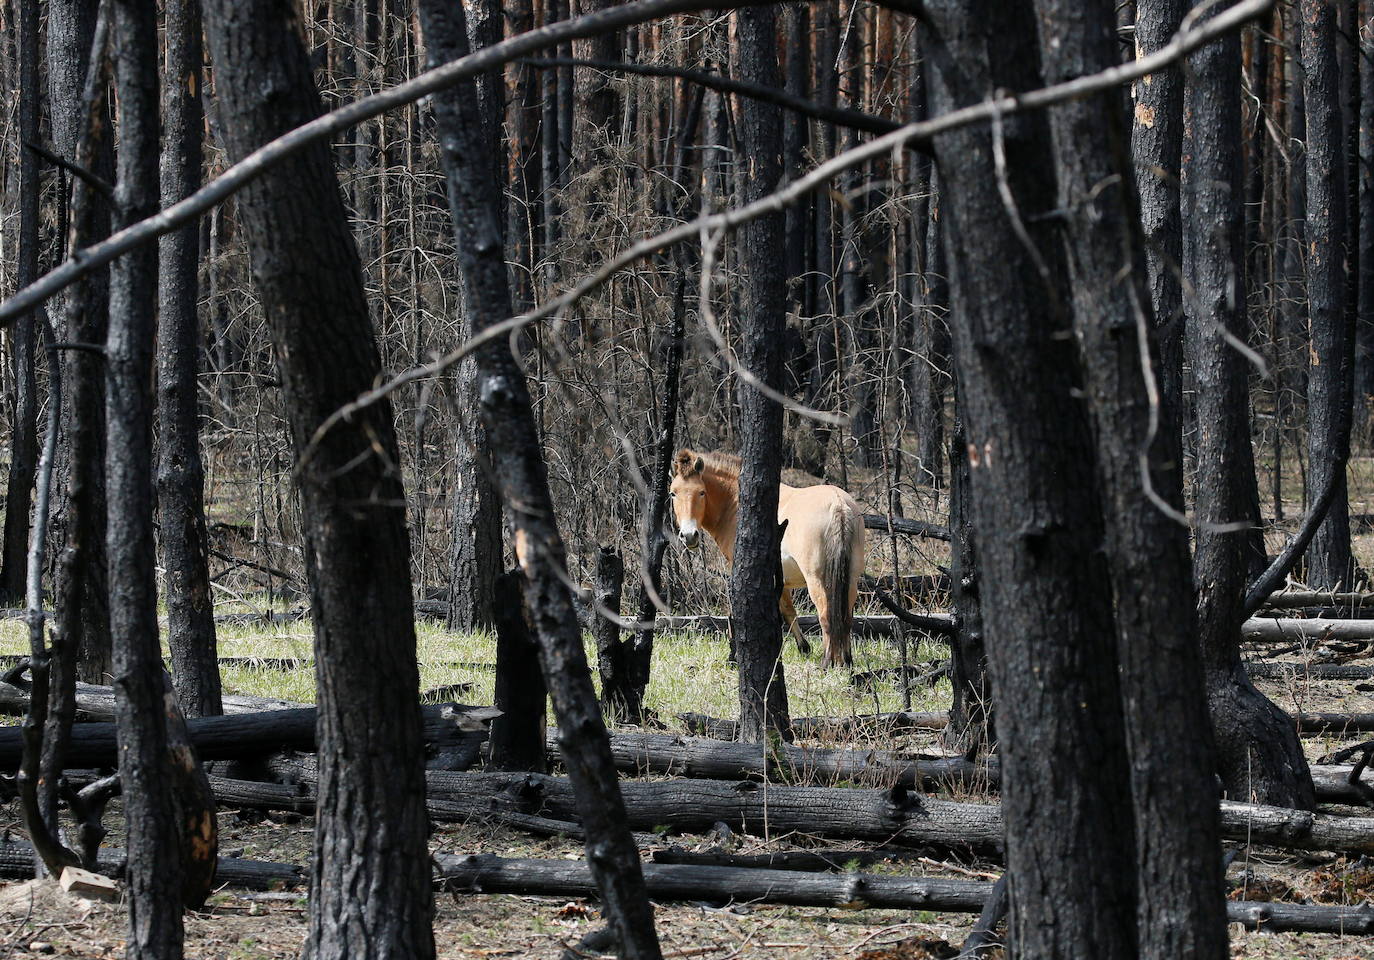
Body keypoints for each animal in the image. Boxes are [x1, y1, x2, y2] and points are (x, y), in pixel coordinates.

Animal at [670, 450, 862, 667]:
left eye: (701, 492)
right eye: (673, 493)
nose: (689, 536)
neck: (736, 503)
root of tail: (838, 504)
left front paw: (734, 656)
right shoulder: (781, 580)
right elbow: (788, 611)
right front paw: (803, 648)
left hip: (817, 581)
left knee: (826, 617)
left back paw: (827, 663)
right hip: (851, 578)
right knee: (845, 617)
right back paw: (846, 660)